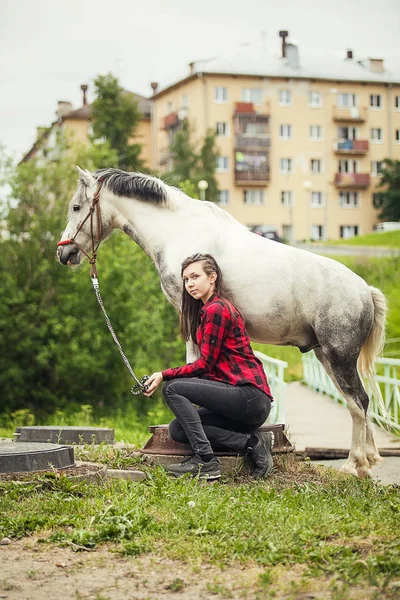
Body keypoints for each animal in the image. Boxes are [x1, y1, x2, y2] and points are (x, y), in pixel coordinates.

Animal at [57, 169, 386, 478]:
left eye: (76, 206)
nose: (63, 252)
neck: (176, 230)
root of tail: (364, 290)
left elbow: (195, 359)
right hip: (326, 356)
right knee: (358, 403)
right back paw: (368, 461)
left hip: (338, 356)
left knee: (358, 402)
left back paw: (355, 465)